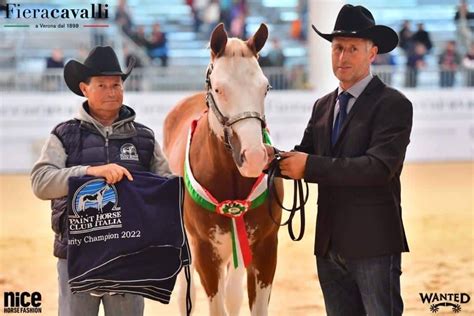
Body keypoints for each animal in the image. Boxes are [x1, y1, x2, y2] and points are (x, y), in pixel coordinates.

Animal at [164, 23, 282, 314]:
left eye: (265, 87)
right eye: (218, 89)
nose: (254, 157)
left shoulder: (265, 248)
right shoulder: (206, 252)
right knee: (186, 294)